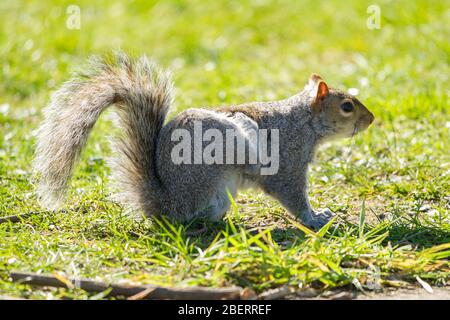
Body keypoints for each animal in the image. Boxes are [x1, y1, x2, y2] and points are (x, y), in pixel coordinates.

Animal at [33, 52, 374, 229]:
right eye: (347, 106)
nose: (371, 119)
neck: (304, 122)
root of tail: (166, 207)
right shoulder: (288, 161)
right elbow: (292, 195)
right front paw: (315, 218)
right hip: (216, 157)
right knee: (201, 217)